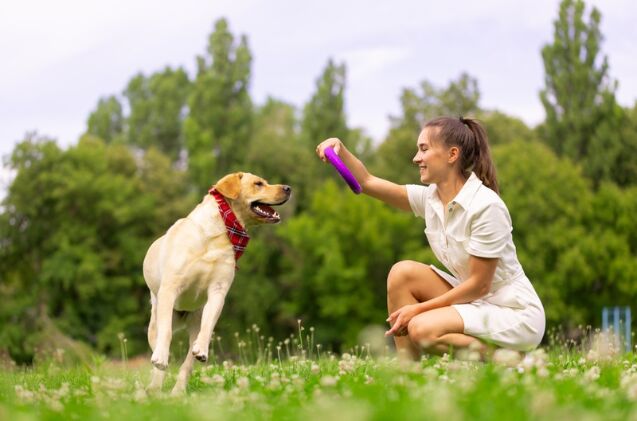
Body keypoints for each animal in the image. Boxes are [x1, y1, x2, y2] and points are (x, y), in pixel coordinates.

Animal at [142, 171, 290, 394]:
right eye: (258, 183)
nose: (288, 188)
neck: (220, 232)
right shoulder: (170, 288)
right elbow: (165, 334)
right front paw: (160, 359)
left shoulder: (218, 292)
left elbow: (208, 325)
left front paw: (202, 349)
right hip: (156, 320)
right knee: (160, 342)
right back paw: (155, 384)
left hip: (194, 322)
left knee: (187, 362)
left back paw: (178, 392)